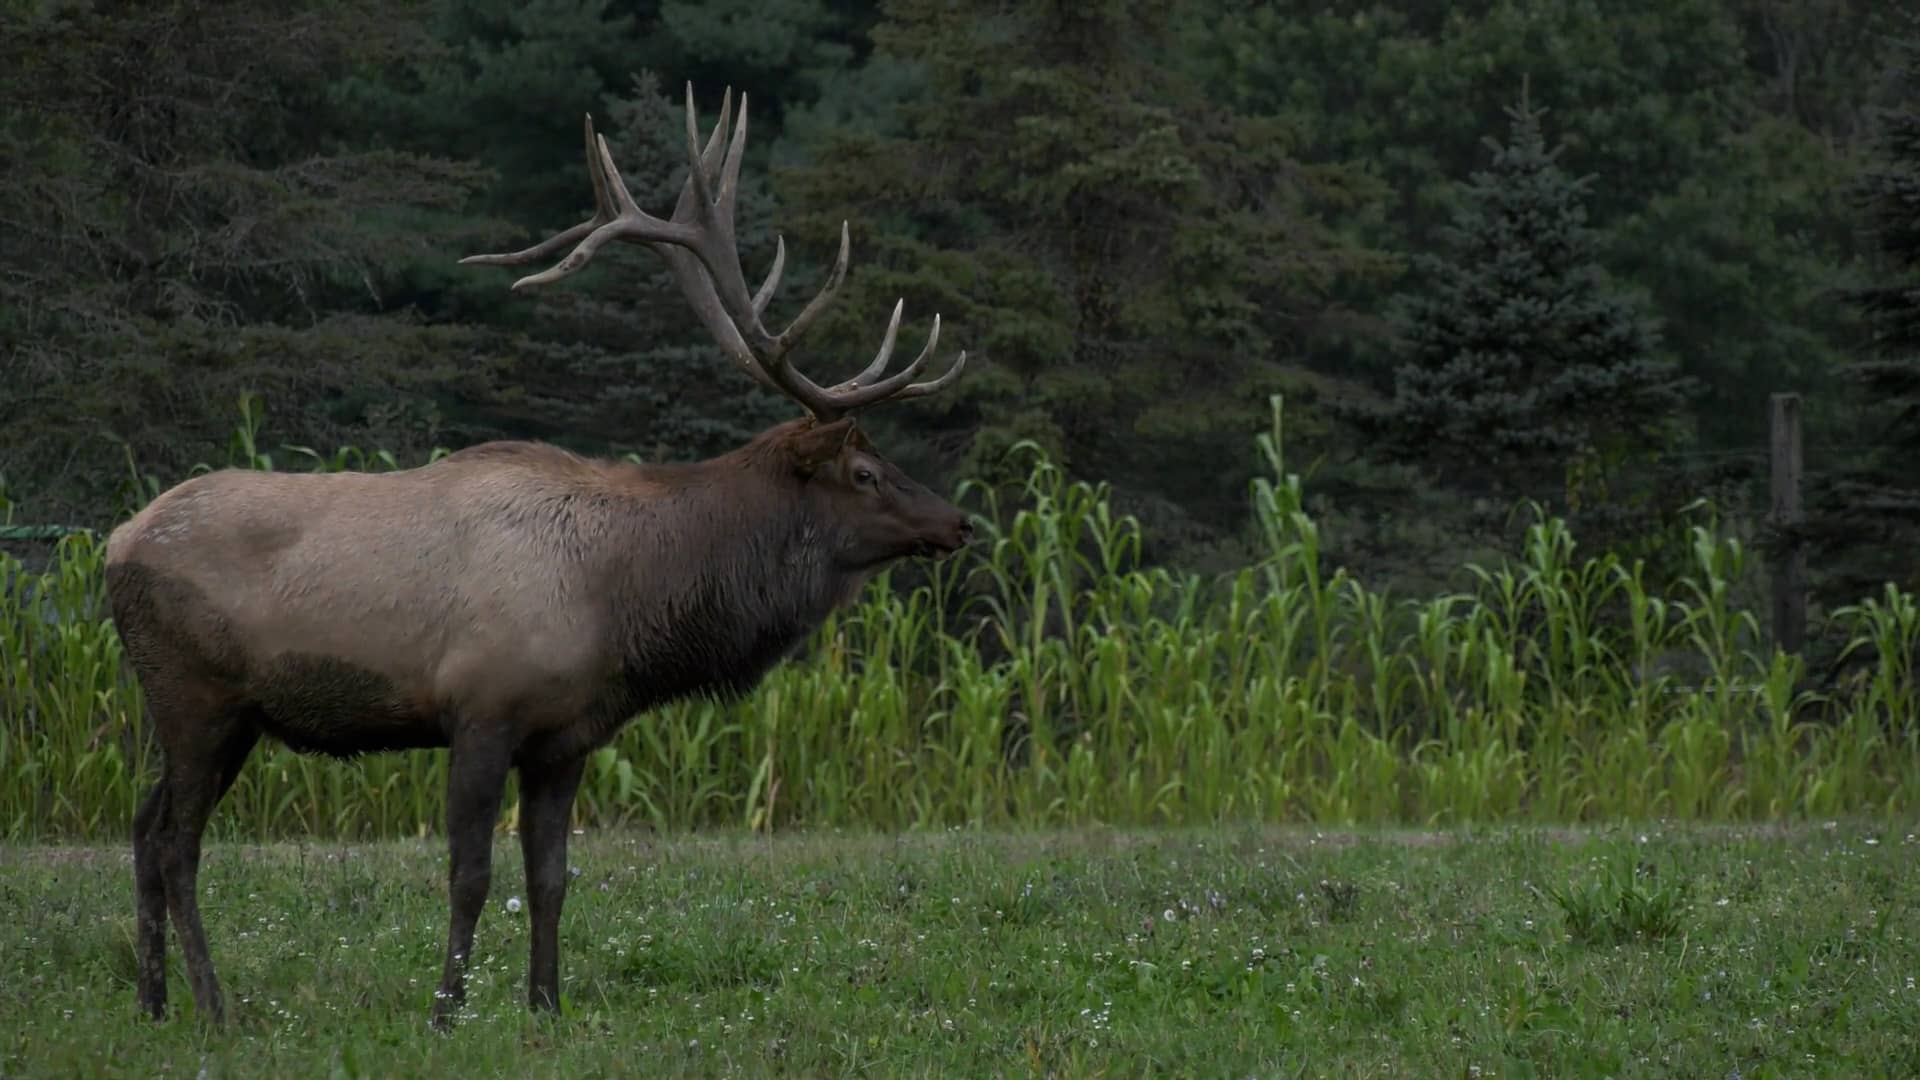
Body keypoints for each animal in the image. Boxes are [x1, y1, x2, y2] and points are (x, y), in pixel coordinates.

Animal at [104, 83, 971, 1029]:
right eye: (865, 471)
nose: (960, 522)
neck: (624, 602)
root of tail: (113, 545)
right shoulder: (482, 709)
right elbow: (471, 875)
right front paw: (446, 1011)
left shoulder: (566, 737)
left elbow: (551, 878)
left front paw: (546, 1005)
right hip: (195, 695)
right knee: (177, 842)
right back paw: (211, 1003)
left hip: (226, 715)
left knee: (143, 829)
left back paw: (151, 1000)